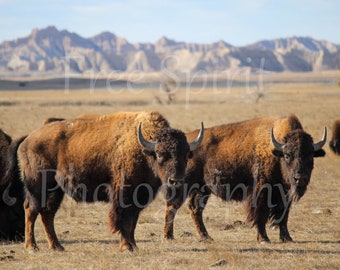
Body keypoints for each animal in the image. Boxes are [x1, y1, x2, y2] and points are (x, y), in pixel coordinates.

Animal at [15, 110, 202, 252]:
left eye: (186, 155)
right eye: (161, 154)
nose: (175, 180)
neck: (143, 149)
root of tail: (27, 141)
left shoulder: (139, 197)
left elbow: (132, 222)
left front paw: (133, 246)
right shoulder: (123, 195)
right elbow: (123, 220)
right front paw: (126, 247)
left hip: (55, 190)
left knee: (47, 213)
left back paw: (57, 246)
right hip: (37, 186)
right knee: (31, 210)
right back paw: (32, 247)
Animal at [165, 115, 326, 244]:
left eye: (310, 155)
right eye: (287, 155)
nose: (300, 178)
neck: (276, 153)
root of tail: (188, 143)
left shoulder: (284, 195)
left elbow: (283, 216)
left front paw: (287, 238)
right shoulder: (261, 191)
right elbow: (261, 214)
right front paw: (264, 239)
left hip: (203, 188)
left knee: (195, 209)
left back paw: (206, 237)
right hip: (183, 184)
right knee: (173, 205)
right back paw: (169, 236)